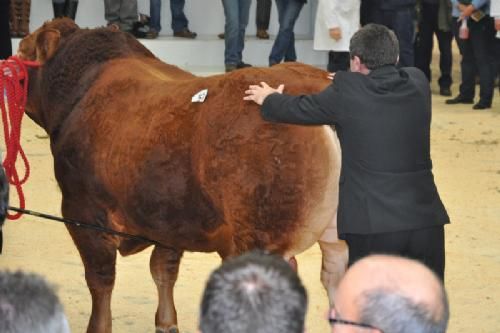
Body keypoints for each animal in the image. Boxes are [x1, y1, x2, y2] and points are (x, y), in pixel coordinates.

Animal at [19, 18, 348, 332]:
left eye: (22, 50)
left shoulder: (83, 212)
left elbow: (100, 279)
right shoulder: (169, 218)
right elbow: (163, 268)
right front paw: (167, 322)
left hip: (262, 237)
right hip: (336, 239)